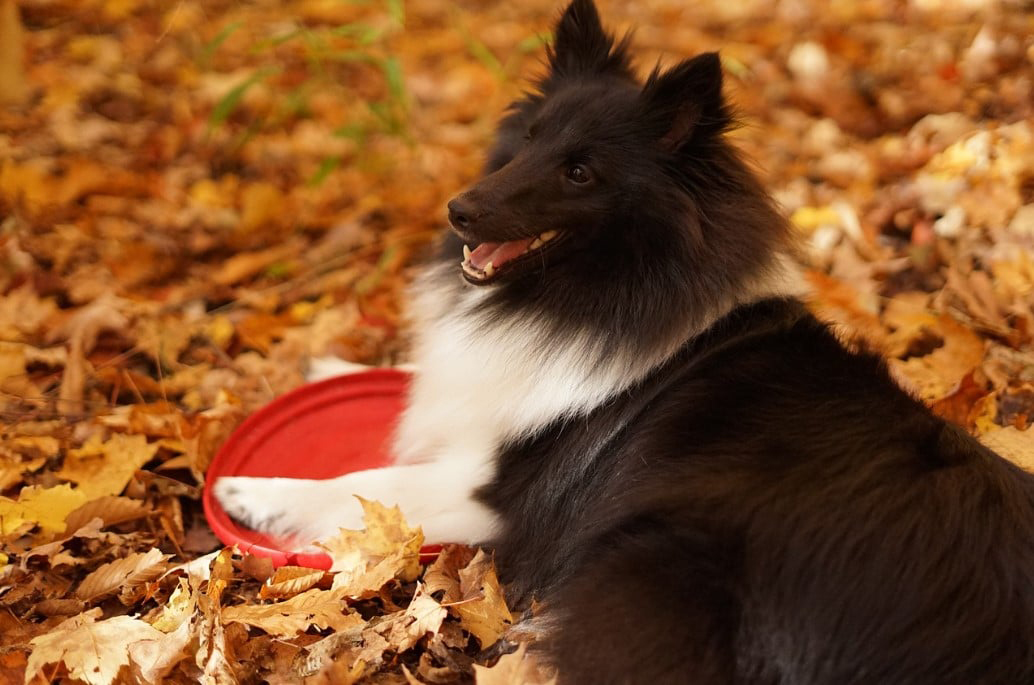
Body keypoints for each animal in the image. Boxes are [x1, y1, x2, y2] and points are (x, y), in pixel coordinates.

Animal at [214, 2, 1029, 682]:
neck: (596, 295)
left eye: (580, 172)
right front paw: (331, 365)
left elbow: (366, 483)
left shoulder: (503, 493)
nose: (459, 211)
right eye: (529, 140)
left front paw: (255, 492)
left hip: (640, 568)